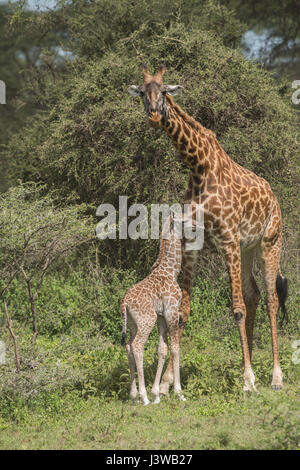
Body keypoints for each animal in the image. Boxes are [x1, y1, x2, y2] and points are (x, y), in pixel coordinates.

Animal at [120, 216, 184, 404]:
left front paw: (156, 394)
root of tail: (124, 303)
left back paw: (134, 396)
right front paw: (179, 392)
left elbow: (162, 349)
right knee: (137, 346)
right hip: (147, 320)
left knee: (128, 346)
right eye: (182, 220)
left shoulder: (162, 316)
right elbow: (175, 347)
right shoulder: (172, 311)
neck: (171, 270)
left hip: (133, 323)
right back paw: (144, 397)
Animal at [127, 64, 288, 392]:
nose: (153, 115)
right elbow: (183, 312)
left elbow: (236, 308)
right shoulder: (193, 243)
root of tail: (273, 196)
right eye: (142, 93)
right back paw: (248, 365)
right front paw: (167, 382)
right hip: (247, 248)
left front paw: (248, 380)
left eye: (164, 91)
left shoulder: (227, 239)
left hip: (269, 242)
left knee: (270, 299)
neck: (199, 167)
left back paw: (275, 377)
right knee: (253, 295)